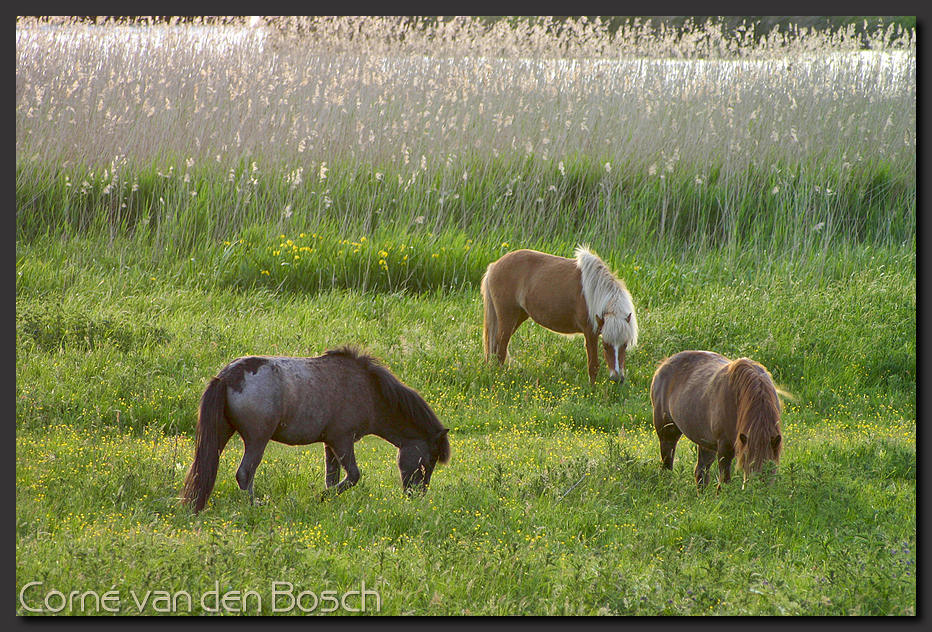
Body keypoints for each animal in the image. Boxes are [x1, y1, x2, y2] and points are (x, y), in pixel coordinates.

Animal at [181, 346, 450, 512]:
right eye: (428, 461)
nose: (417, 495)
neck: (369, 389)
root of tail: (227, 376)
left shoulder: (330, 444)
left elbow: (333, 478)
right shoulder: (343, 440)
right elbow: (353, 476)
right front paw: (319, 498)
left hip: (221, 434)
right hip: (257, 440)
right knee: (245, 474)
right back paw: (254, 505)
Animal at [481, 246, 638, 384]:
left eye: (625, 345)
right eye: (605, 346)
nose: (617, 379)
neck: (595, 292)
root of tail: (494, 266)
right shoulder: (590, 332)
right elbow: (593, 365)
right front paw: (592, 392)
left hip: (518, 317)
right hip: (507, 318)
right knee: (500, 351)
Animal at [649, 350, 783, 489]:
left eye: (771, 464)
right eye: (747, 460)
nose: (756, 489)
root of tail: (664, 364)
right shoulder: (725, 448)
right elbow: (724, 482)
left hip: (706, 443)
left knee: (700, 473)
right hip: (667, 433)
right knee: (667, 465)